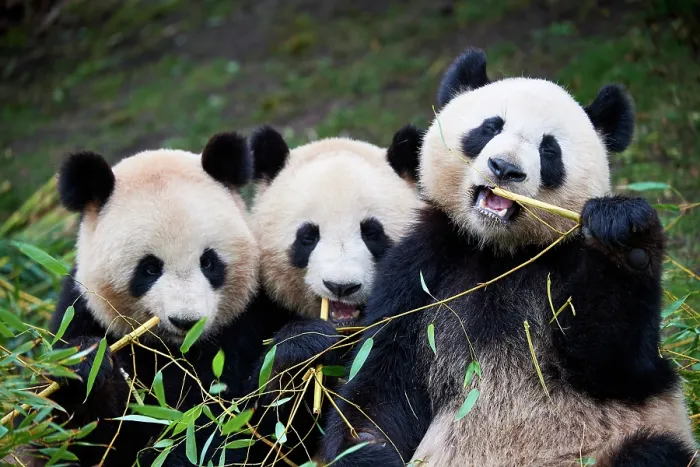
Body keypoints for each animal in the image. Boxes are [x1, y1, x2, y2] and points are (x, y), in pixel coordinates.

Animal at [28, 133, 290, 466]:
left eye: (208, 262)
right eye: (150, 268)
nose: (186, 321)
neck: (179, 351)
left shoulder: (253, 317)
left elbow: (243, 424)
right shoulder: (80, 311)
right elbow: (71, 439)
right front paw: (85, 362)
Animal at [243, 125, 425, 464]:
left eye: (372, 232)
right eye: (308, 236)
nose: (341, 286)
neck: (345, 333)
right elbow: (260, 433)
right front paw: (305, 345)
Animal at [321, 48, 697, 467]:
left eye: (549, 150)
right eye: (489, 128)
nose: (505, 168)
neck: (499, 252)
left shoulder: (563, 263)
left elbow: (616, 365)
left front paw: (626, 238)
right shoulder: (421, 269)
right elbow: (382, 377)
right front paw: (367, 452)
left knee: (653, 450)